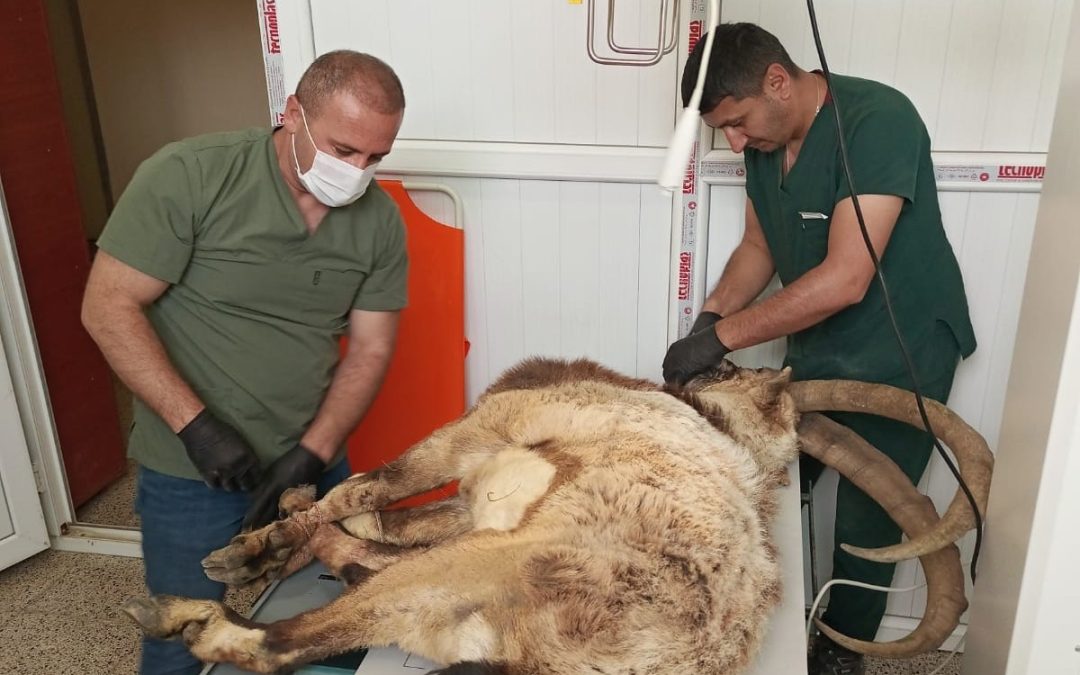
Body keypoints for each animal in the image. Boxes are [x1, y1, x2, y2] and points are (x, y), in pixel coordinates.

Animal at [122, 356, 989, 669]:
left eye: (732, 371)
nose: (702, 361)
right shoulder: (471, 501)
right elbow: (382, 517)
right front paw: (273, 536)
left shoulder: (482, 430)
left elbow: (373, 484)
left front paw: (251, 545)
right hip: (442, 608)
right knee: (367, 568)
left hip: (481, 568)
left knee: (275, 639)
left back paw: (184, 611)